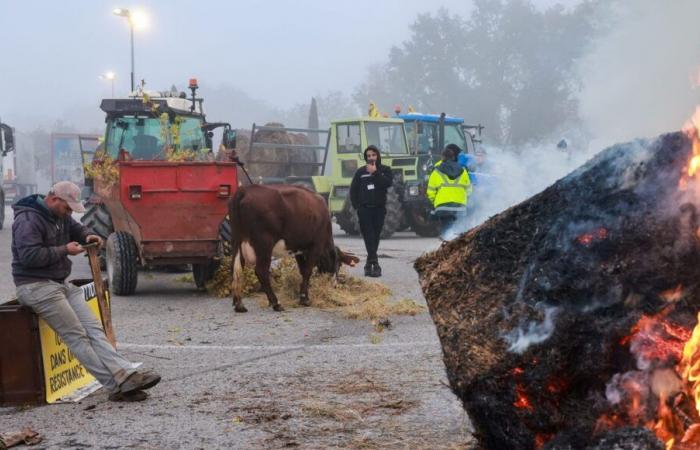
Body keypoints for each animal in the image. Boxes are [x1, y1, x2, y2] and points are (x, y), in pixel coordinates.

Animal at [230, 185, 360, 312]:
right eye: (339, 264)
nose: (335, 284)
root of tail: (245, 190)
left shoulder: (299, 250)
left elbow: (302, 271)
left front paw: (304, 295)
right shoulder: (315, 247)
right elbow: (307, 271)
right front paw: (304, 299)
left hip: (237, 242)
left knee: (237, 269)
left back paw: (239, 304)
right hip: (264, 244)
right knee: (261, 271)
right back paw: (276, 303)